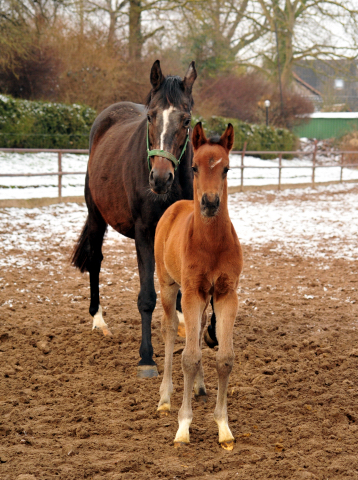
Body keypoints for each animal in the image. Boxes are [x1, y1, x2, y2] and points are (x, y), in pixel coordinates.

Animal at [71, 60, 199, 376]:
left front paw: (182, 327)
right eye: (151, 117)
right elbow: (147, 297)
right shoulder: (144, 234)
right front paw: (146, 358)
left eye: (186, 120)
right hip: (96, 217)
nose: (161, 179)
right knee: (95, 260)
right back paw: (98, 320)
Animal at [154, 121, 243, 450]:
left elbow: (224, 358)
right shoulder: (190, 293)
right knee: (168, 331)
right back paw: (165, 398)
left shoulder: (226, 294)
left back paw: (201, 388)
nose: (209, 202)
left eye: (227, 168)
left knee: (200, 328)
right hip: (168, 285)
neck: (211, 244)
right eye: (194, 167)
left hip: (205, 298)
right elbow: (189, 358)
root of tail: (177, 205)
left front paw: (223, 427)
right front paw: (183, 427)